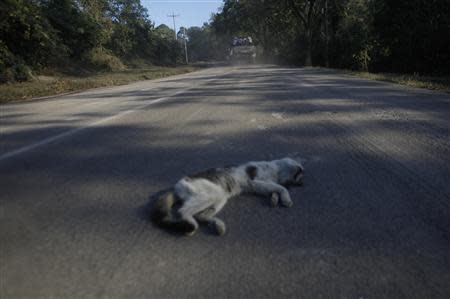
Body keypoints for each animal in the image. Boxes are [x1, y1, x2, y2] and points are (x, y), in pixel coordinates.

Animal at [153, 158, 304, 238]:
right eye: (300, 177)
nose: (302, 183)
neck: (276, 171)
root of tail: (176, 186)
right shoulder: (256, 181)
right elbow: (281, 188)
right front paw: (286, 199)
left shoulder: (260, 186)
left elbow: (275, 189)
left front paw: (274, 200)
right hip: (211, 194)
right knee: (183, 211)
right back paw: (192, 226)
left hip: (220, 198)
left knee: (201, 215)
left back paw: (218, 226)